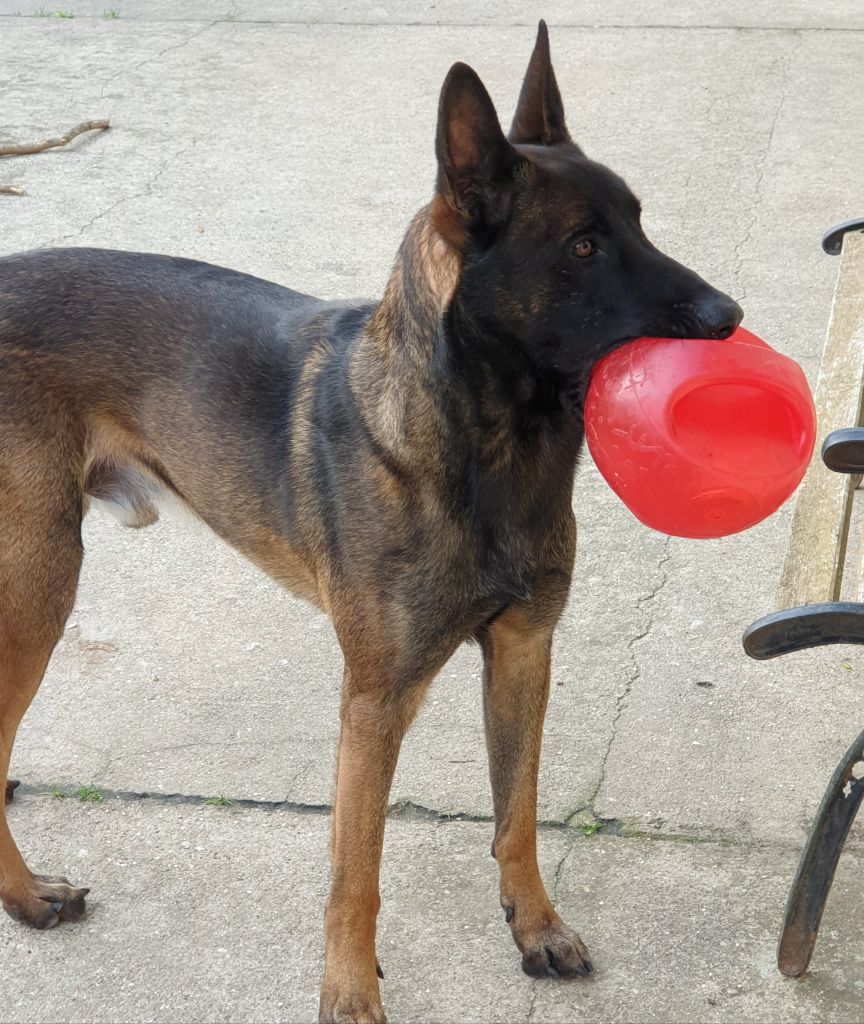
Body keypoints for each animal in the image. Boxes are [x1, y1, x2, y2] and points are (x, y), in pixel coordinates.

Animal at [0, 21, 741, 1024]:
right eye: (585, 246)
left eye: (638, 221)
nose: (730, 316)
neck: (483, 444)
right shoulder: (374, 700)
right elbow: (357, 871)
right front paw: (349, 993)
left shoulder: (523, 652)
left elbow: (518, 813)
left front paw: (536, 927)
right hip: (39, 589)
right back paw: (26, 898)